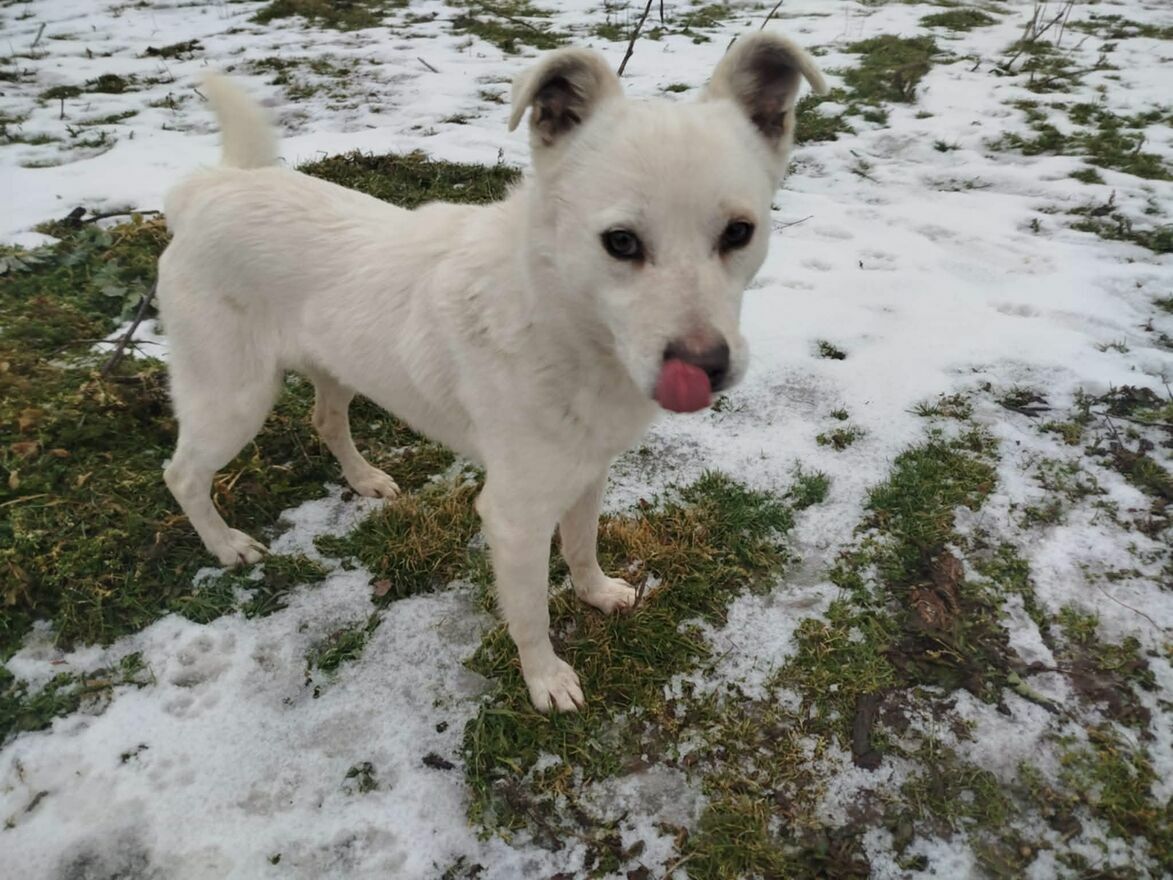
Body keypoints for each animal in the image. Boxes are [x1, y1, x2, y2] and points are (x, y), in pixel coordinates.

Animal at [157, 33, 827, 712]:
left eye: (739, 232)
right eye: (620, 242)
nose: (707, 368)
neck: (559, 321)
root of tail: (211, 189)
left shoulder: (588, 472)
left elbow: (582, 547)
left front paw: (597, 594)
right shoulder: (513, 516)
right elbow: (531, 613)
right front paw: (546, 681)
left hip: (335, 366)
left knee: (325, 418)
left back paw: (365, 479)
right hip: (233, 397)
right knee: (182, 474)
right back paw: (226, 544)